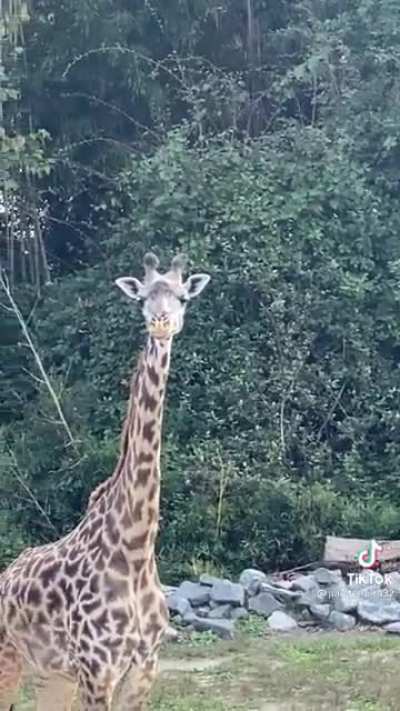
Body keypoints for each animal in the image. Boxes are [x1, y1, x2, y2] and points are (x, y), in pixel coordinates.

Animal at [0, 253, 210, 710]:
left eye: (183, 297)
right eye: (143, 298)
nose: (162, 323)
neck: (135, 546)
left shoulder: (143, 669)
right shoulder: (97, 671)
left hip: (52, 675)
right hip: (10, 656)